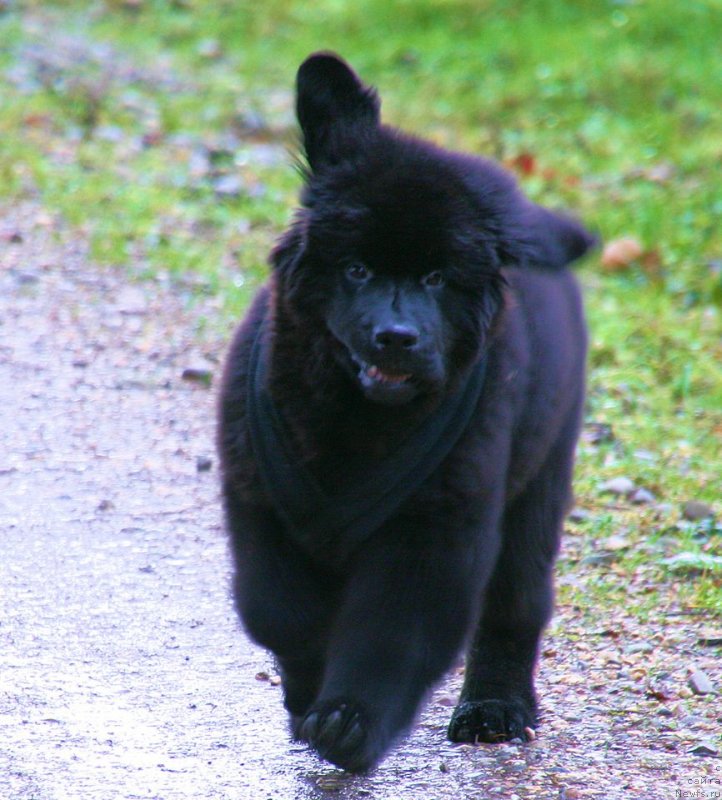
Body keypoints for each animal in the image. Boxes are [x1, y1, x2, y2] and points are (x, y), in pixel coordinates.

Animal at [217, 51, 592, 776]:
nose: (397, 337)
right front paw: (308, 688)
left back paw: (496, 708)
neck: (352, 423)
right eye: (357, 270)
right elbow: (280, 610)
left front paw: (348, 723)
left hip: (542, 473)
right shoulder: (259, 502)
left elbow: (393, 634)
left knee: (516, 602)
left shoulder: (436, 529)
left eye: (437, 279)